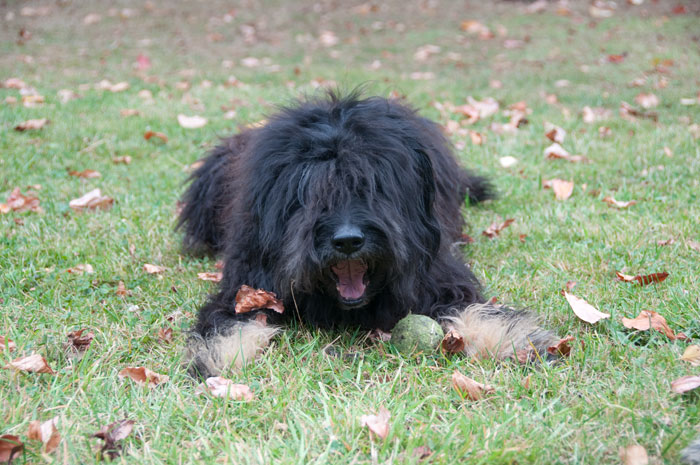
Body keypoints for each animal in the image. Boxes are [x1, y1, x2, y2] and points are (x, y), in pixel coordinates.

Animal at [179, 90, 556, 376]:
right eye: (310, 194)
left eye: (374, 187)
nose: (348, 241)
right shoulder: (249, 281)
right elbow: (230, 320)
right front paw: (221, 356)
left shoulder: (438, 274)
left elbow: (469, 308)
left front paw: (516, 340)